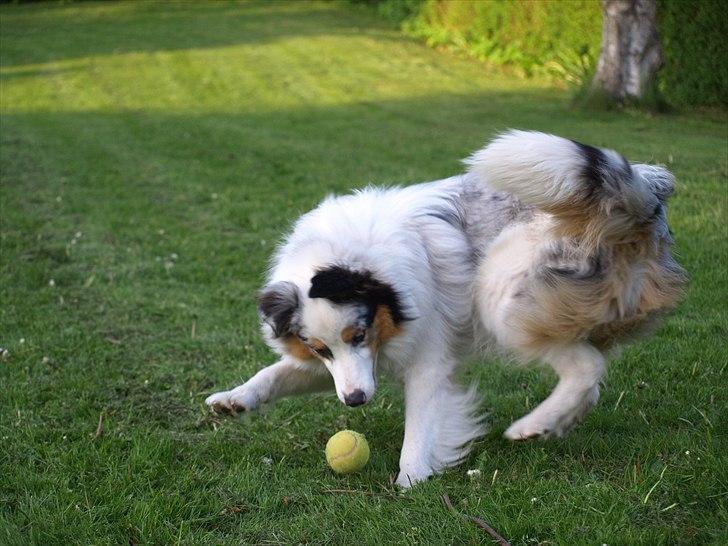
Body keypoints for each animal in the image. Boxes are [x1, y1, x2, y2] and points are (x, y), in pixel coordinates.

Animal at [206, 131, 688, 484]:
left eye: (359, 334)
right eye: (320, 349)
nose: (355, 403)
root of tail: (643, 199)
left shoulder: (426, 358)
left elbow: (421, 426)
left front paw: (410, 482)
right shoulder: (350, 365)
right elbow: (276, 373)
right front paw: (234, 399)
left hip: (500, 290)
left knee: (587, 366)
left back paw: (535, 424)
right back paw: (558, 422)